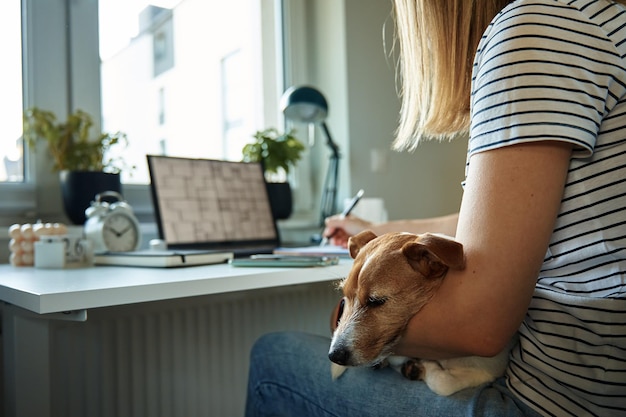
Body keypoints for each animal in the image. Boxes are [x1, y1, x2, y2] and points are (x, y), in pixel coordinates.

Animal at [326, 229, 512, 394]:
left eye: (375, 301)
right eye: (344, 297)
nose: (334, 356)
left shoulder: (490, 367)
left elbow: (443, 384)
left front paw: (423, 368)